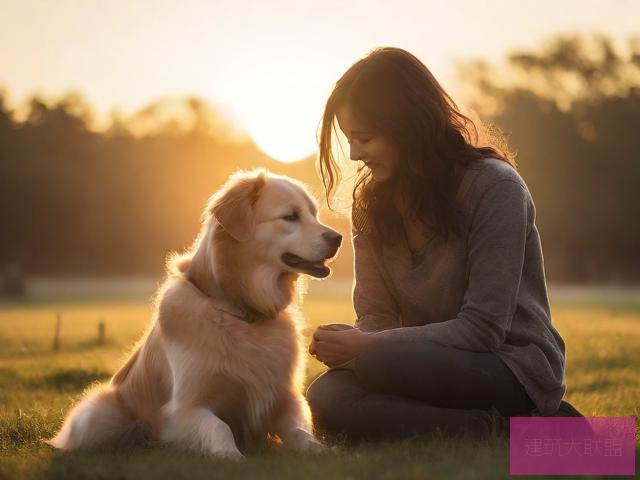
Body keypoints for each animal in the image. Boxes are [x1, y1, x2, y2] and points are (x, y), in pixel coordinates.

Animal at [47, 169, 342, 458]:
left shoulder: (285, 396)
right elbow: (219, 426)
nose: (338, 238)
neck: (240, 311)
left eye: (313, 214)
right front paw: (230, 454)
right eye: (290, 216)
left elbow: (299, 430)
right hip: (95, 415)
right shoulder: (184, 407)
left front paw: (320, 449)